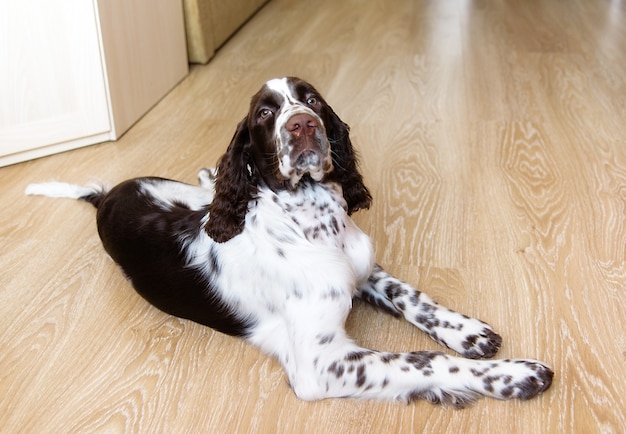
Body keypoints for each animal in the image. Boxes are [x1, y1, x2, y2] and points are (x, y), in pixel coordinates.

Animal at [25, 75, 552, 406]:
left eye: (312, 100)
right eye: (265, 112)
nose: (302, 126)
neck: (316, 223)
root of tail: (107, 195)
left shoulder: (362, 269)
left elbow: (410, 295)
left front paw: (468, 332)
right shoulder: (321, 363)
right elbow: (423, 361)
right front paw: (515, 374)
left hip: (191, 196)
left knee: (207, 189)